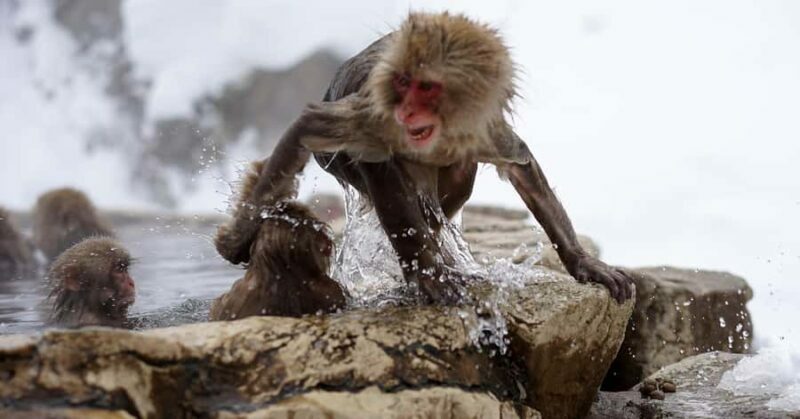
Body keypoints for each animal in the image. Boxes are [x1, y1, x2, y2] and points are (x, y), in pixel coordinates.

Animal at [216, 12, 634, 304]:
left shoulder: (483, 129)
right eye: (403, 83)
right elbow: (312, 128)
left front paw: (584, 263)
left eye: (427, 87)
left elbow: (522, 166)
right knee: (386, 174)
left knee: (454, 180)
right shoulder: (373, 114)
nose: (407, 112)